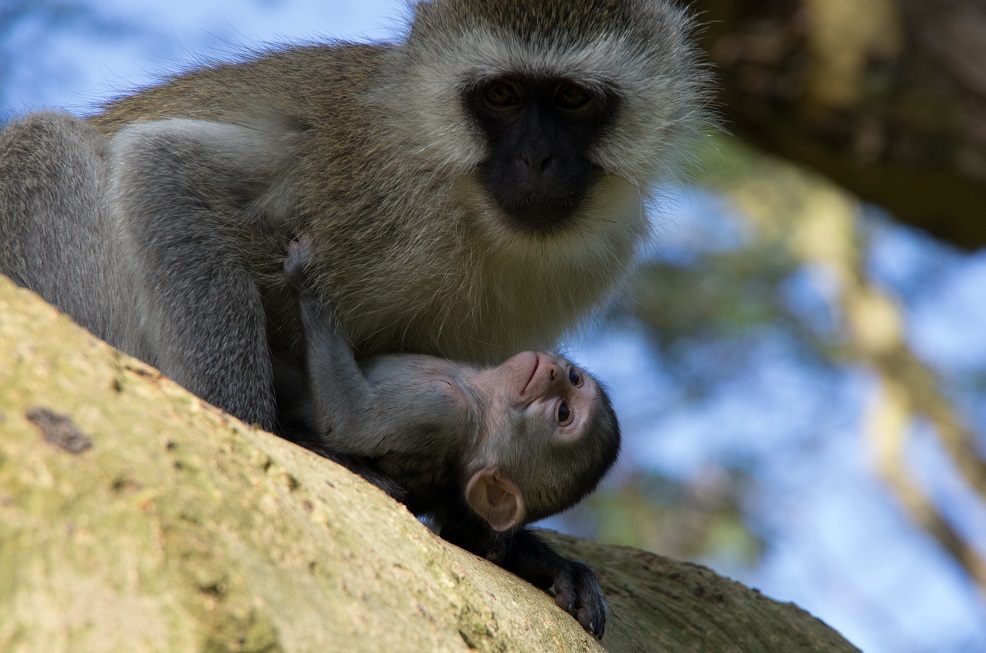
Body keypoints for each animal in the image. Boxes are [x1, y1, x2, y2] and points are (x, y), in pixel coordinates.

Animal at [0, 0, 708, 638]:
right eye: (502, 95)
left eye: (570, 98)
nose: (537, 160)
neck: (465, 202)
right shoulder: (366, 172)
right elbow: (164, 163)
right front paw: (260, 434)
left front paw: (519, 548)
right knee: (47, 145)